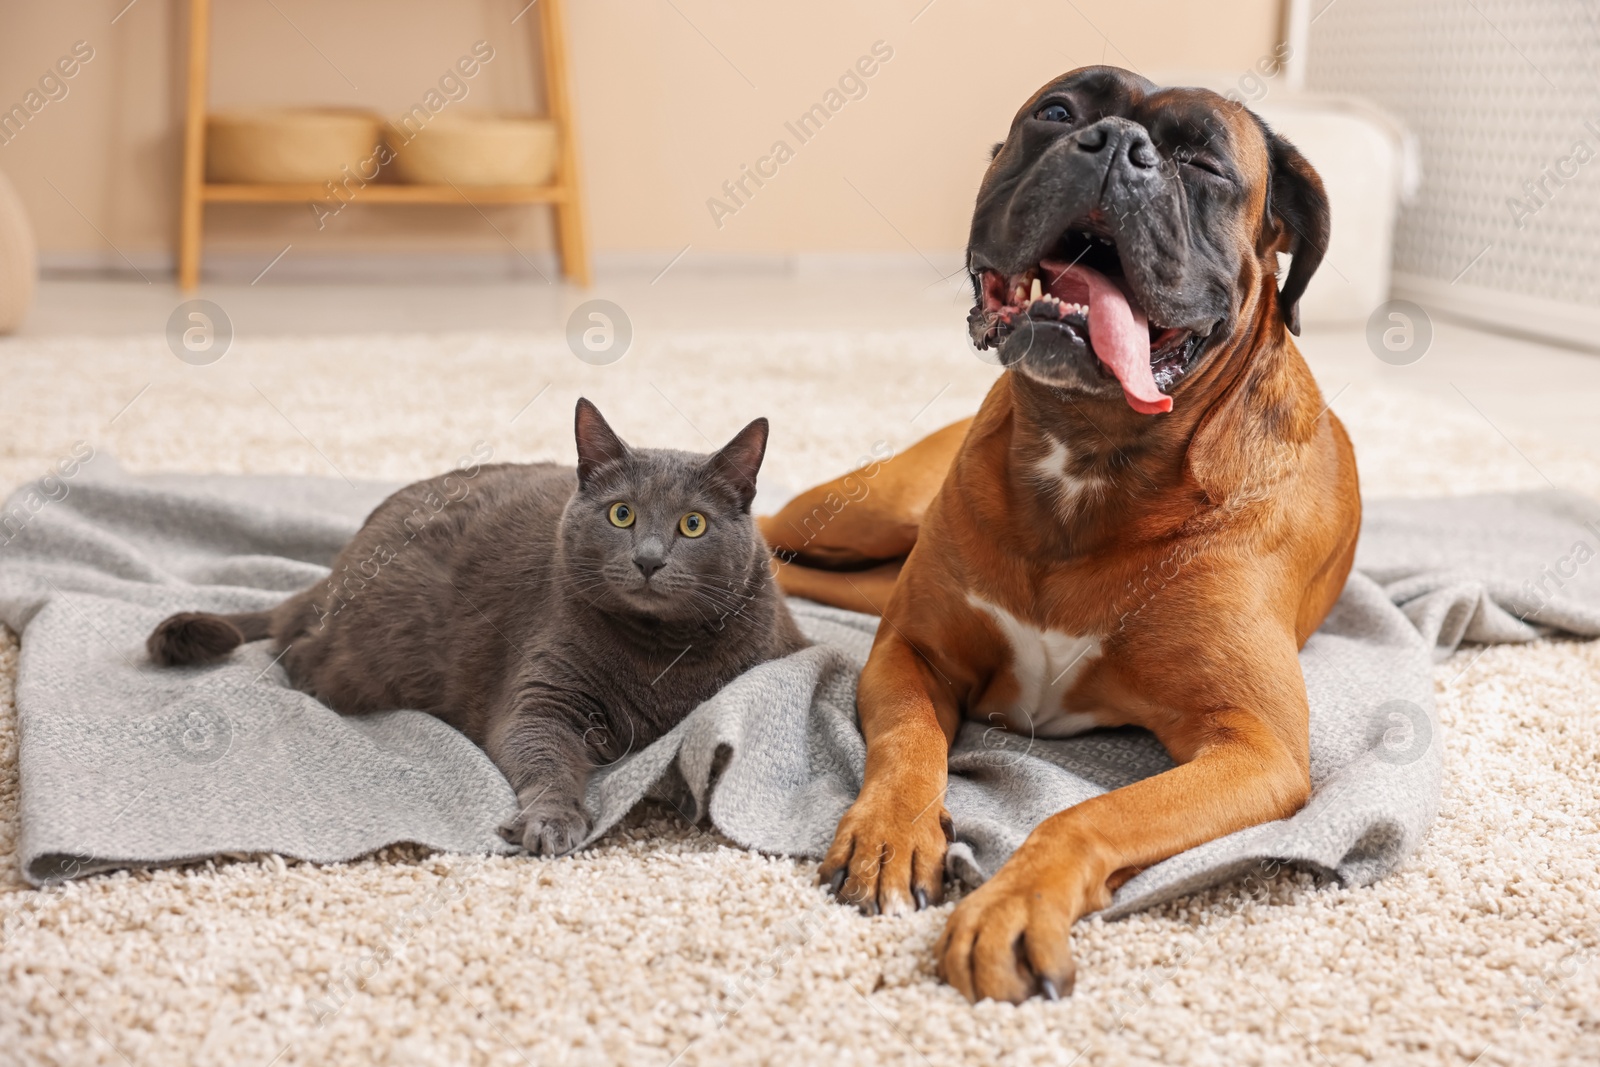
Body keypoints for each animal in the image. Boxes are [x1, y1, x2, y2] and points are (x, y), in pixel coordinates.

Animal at [145, 396, 806, 857]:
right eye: (622, 514)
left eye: (693, 525)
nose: (647, 559)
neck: (659, 654)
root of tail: (341, 562)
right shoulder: (540, 696)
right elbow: (543, 753)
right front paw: (551, 821)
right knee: (298, 650)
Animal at [761, 66, 1363, 1004]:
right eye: (1057, 112)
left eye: (1203, 163)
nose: (1118, 145)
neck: (1089, 453)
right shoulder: (909, 654)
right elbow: (909, 743)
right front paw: (891, 832)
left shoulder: (1253, 747)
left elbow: (1089, 813)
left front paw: (1014, 903)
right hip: (865, 508)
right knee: (764, 525)